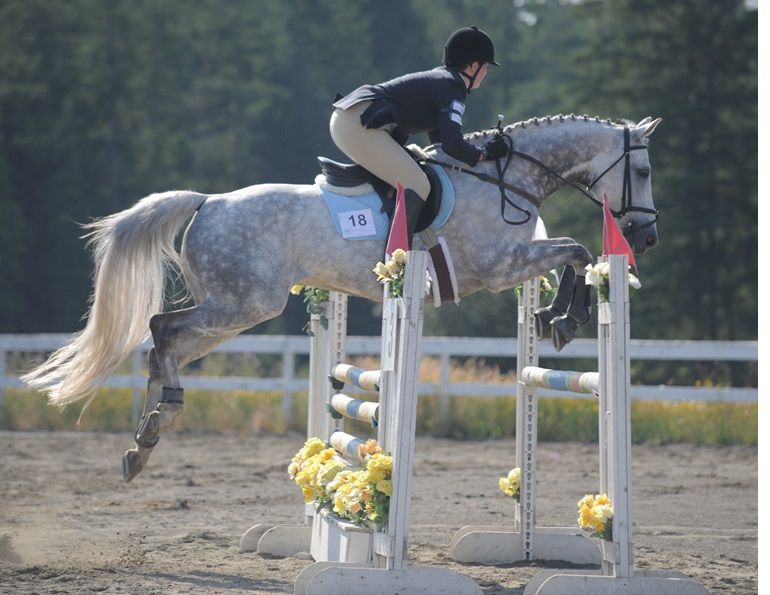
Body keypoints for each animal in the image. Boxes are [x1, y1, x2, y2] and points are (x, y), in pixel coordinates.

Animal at [22, 114, 661, 482]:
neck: (504, 177)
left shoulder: (515, 262)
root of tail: (206, 201)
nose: (647, 237)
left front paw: (557, 315)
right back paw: (158, 422)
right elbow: (577, 249)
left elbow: (572, 253)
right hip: (243, 305)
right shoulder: (500, 267)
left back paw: (143, 442)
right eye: (645, 172)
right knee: (160, 330)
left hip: (232, 313)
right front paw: (565, 317)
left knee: (166, 343)